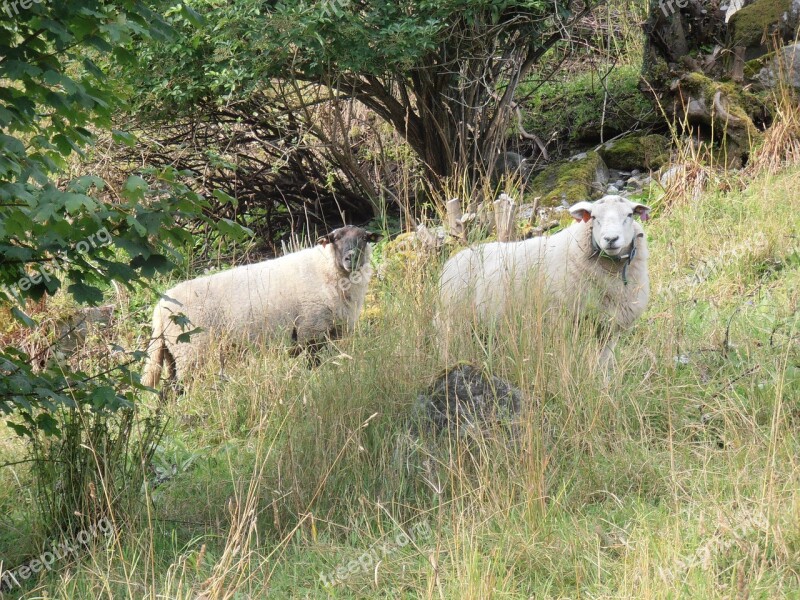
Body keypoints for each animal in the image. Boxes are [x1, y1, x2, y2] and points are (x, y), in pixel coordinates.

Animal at [144, 223, 382, 386]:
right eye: (335, 239)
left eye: (364, 238)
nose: (352, 258)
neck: (327, 270)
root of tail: (159, 310)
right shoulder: (310, 331)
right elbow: (313, 365)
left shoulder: (336, 332)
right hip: (191, 351)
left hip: (173, 353)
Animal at [438, 195, 648, 368]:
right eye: (594, 217)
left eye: (630, 215)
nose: (611, 239)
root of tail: (453, 260)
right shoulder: (562, 323)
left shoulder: (609, 329)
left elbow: (603, 363)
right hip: (454, 322)